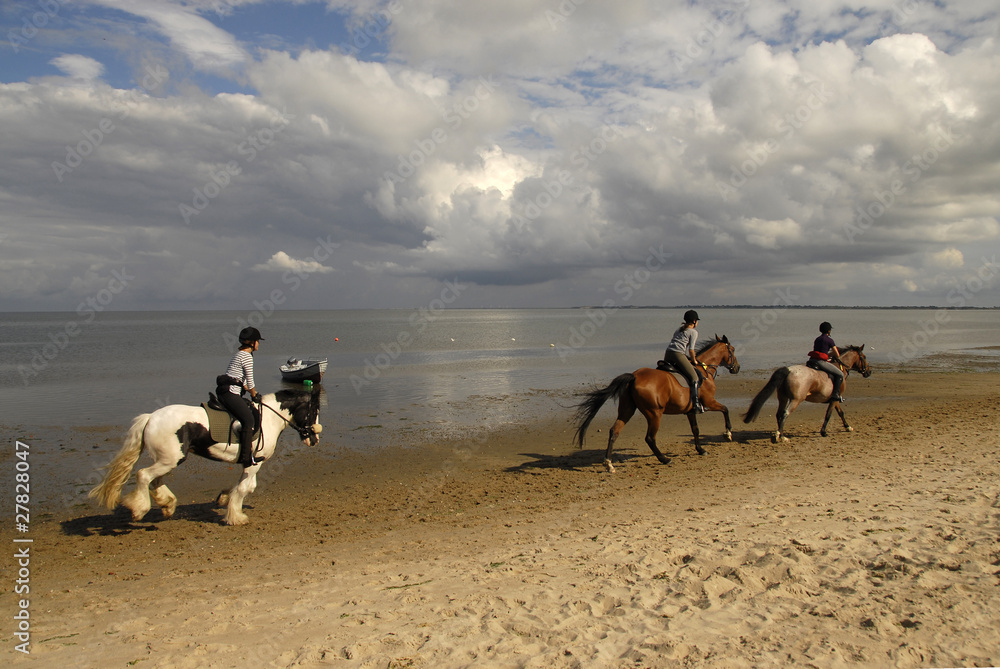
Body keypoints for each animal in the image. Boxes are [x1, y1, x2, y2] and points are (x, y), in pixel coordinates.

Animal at [90, 388, 322, 524]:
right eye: (313, 411)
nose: (314, 439)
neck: (269, 418)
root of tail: (150, 418)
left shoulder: (251, 464)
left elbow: (246, 487)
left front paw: (224, 498)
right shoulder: (254, 463)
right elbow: (245, 488)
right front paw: (236, 516)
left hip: (168, 459)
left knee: (155, 480)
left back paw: (167, 505)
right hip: (171, 459)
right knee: (144, 475)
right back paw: (140, 509)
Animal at [572, 332, 744, 470]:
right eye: (733, 349)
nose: (737, 368)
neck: (704, 369)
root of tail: (634, 376)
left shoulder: (690, 411)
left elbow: (695, 429)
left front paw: (701, 450)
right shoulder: (709, 402)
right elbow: (725, 409)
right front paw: (728, 434)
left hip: (627, 409)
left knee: (615, 431)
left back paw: (609, 463)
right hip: (654, 414)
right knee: (649, 438)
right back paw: (664, 459)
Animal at [740, 344, 872, 444]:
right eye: (864, 357)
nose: (869, 372)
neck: (840, 367)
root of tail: (789, 370)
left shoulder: (834, 399)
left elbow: (841, 413)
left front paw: (848, 427)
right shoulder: (834, 399)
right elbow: (828, 415)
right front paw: (823, 432)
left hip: (783, 397)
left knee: (779, 414)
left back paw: (780, 434)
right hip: (795, 400)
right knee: (785, 413)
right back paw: (781, 437)